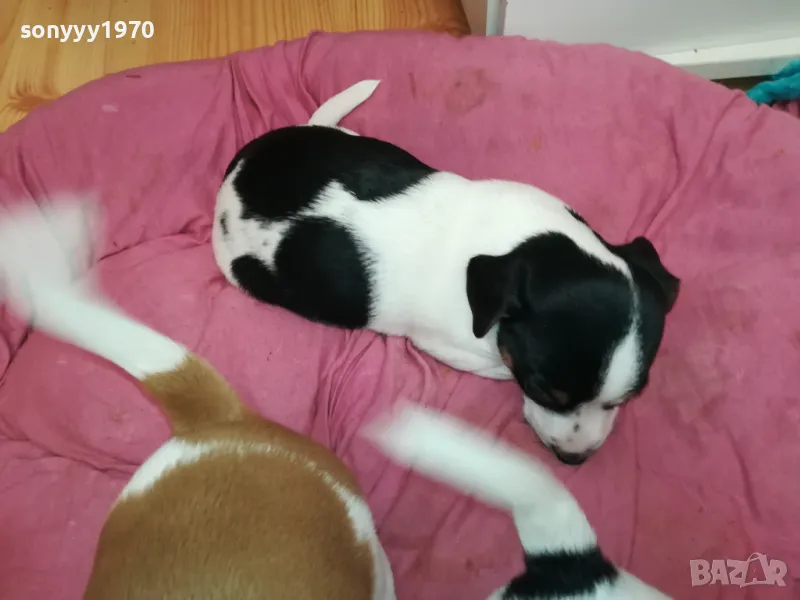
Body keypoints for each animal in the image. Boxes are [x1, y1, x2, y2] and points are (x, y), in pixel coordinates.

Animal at [211, 80, 680, 464]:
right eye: (541, 389)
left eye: (630, 397)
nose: (574, 460)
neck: (519, 243)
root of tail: (237, 173)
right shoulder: (454, 347)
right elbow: (498, 365)